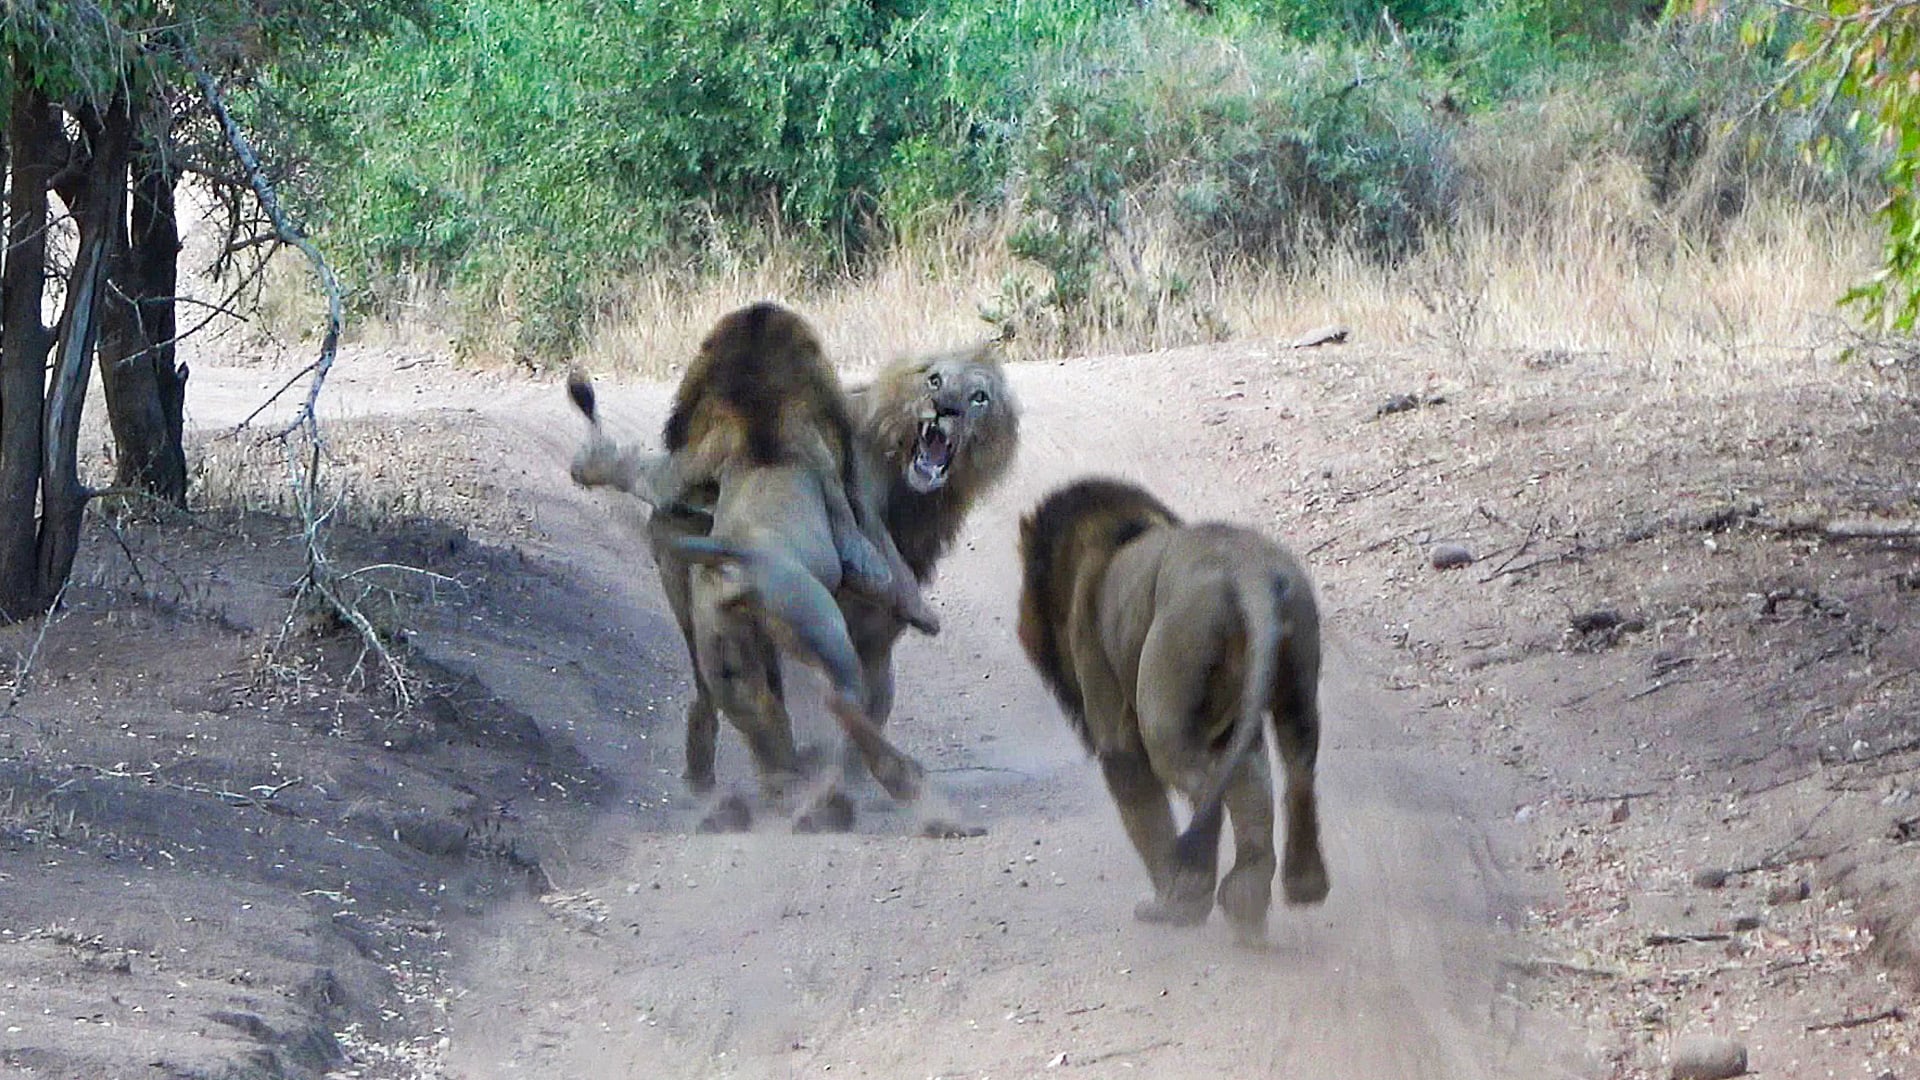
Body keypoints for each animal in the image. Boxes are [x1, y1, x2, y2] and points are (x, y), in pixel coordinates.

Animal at [641, 340, 1020, 833]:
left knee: (756, 706)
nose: (944, 407)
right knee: (746, 700)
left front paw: (845, 781)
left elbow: (869, 715)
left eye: (979, 397)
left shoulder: (876, 639)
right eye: (934, 380)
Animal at [1014, 477, 1329, 946]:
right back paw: (1278, 891)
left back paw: (1187, 897)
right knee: (1293, 777)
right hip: (1296, 682)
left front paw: (1167, 897)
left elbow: (1145, 814)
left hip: (1165, 706)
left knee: (1204, 791)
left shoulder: (1114, 729)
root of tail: (1247, 571)